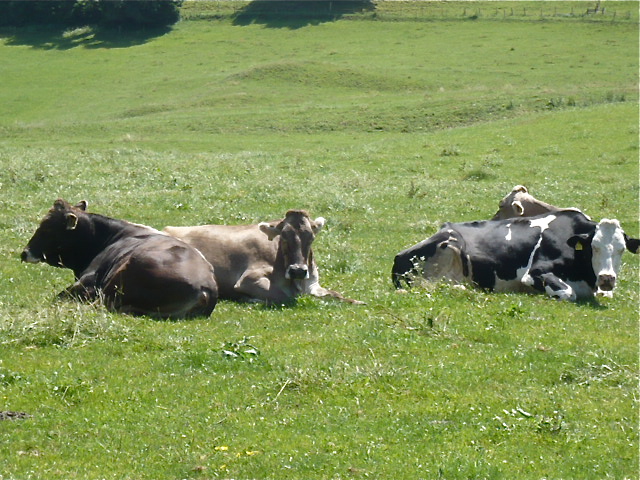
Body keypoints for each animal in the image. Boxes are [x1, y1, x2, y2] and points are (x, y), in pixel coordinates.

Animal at [162, 210, 362, 304]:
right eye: (284, 236)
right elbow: (285, 297)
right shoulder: (248, 279)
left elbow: (337, 294)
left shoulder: (313, 284)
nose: (298, 270)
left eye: (311, 237)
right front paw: (251, 299)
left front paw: (358, 301)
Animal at [392, 209, 636, 300]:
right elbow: (568, 293)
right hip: (451, 244)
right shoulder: (533, 272)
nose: (607, 278)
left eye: (622, 249)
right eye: (594, 247)